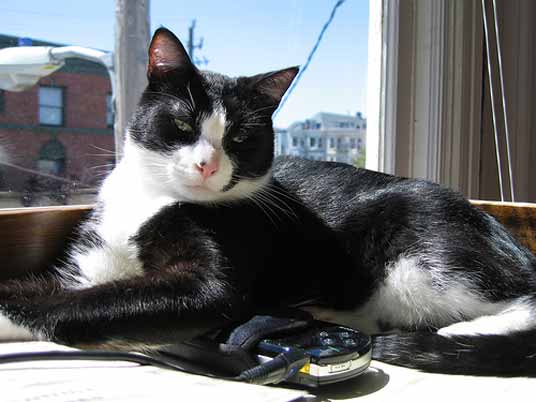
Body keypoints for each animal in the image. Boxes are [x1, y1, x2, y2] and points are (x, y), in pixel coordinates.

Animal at [1, 28, 536, 376]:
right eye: (182, 123)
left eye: (239, 137)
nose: (206, 164)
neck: (154, 199)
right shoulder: (90, 261)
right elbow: (75, 288)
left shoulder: (216, 282)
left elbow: (90, 303)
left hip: (419, 254)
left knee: (520, 302)